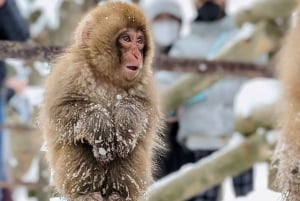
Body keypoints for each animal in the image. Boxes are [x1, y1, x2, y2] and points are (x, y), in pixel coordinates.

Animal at [40, 1, 163, 201]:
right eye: (126, 38)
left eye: (140, 41)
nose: (137, 54)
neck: (107, 76)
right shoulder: (70, 70)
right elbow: (61, 110)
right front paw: (98, 123)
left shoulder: (145, 81)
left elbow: (145, 110)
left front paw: (126, 118)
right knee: (78, 144)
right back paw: (87, 193)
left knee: (131, 150)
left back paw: (119, 194)